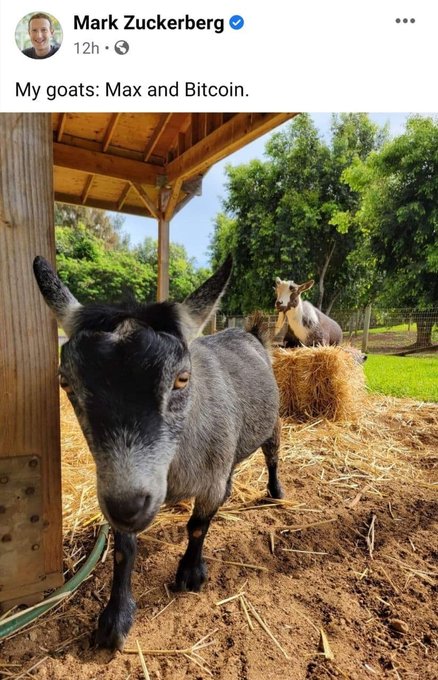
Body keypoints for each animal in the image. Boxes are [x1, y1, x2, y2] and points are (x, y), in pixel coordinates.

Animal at [33, 255, 283, 651]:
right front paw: (115, 618)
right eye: (66, 382)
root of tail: (252, 333)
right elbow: (124, 548)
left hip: (272, 423)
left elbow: (198, 526)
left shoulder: (208, 480)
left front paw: (191, 574)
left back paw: (276, 492)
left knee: (272, 454)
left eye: (182, 379)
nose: (128, 505)